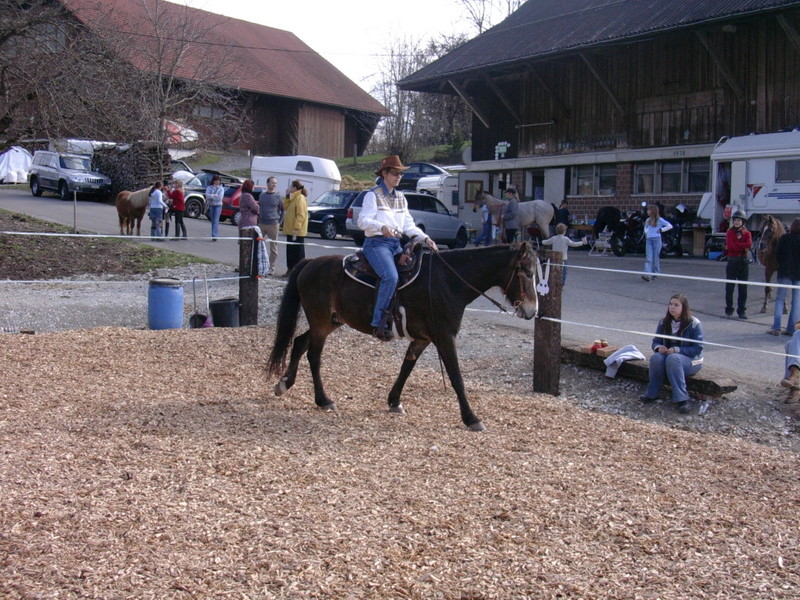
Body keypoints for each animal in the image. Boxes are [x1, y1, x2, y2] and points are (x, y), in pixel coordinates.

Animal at [267, 243, 539, 431]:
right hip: (321, 322)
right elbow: (456, 378)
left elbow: (406, 367)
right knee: (313, 355)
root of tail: (310, 263)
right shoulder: (445, 337)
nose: (532, 310)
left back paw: (284, 383)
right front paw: (472, 418)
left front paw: (394, 401)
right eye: (525, 272)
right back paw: (323, 400)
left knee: (300, 343)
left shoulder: (423, 338)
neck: (449, 282)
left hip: (331, 321)